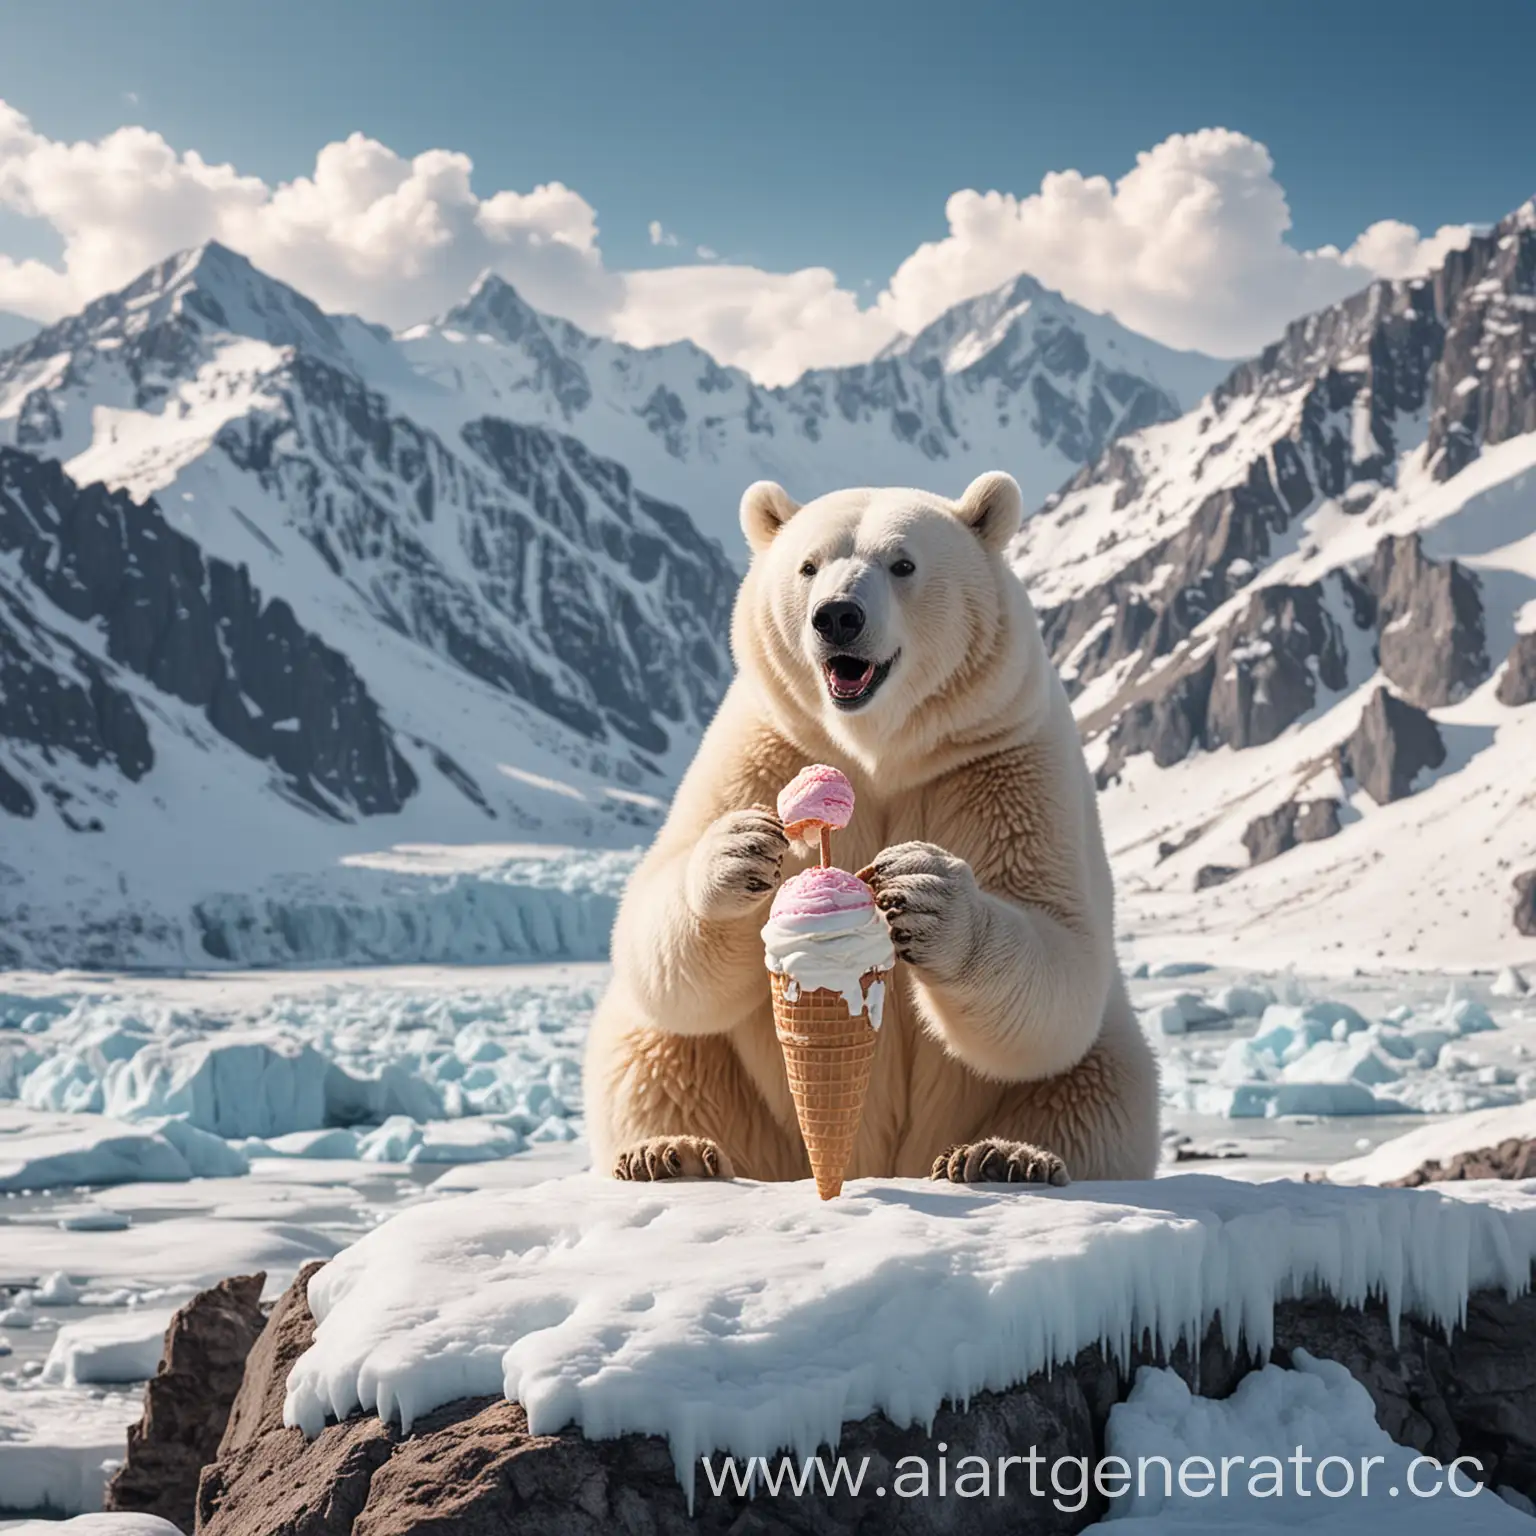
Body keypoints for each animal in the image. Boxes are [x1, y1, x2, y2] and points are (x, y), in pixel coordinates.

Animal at [580, 473, 1155, 1179]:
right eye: (808, 565)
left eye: (902, 564)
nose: (837, 617)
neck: (878, 752)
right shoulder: (769, 743)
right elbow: (652, 918)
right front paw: (739, 855)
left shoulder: (1002, 759)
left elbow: (1062, 953)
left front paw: (927, 895)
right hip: (739, 1105)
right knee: (653, 1047)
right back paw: (670, 1153)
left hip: (1100, 1068)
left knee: (1099, 1087)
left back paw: (1007, 1156)